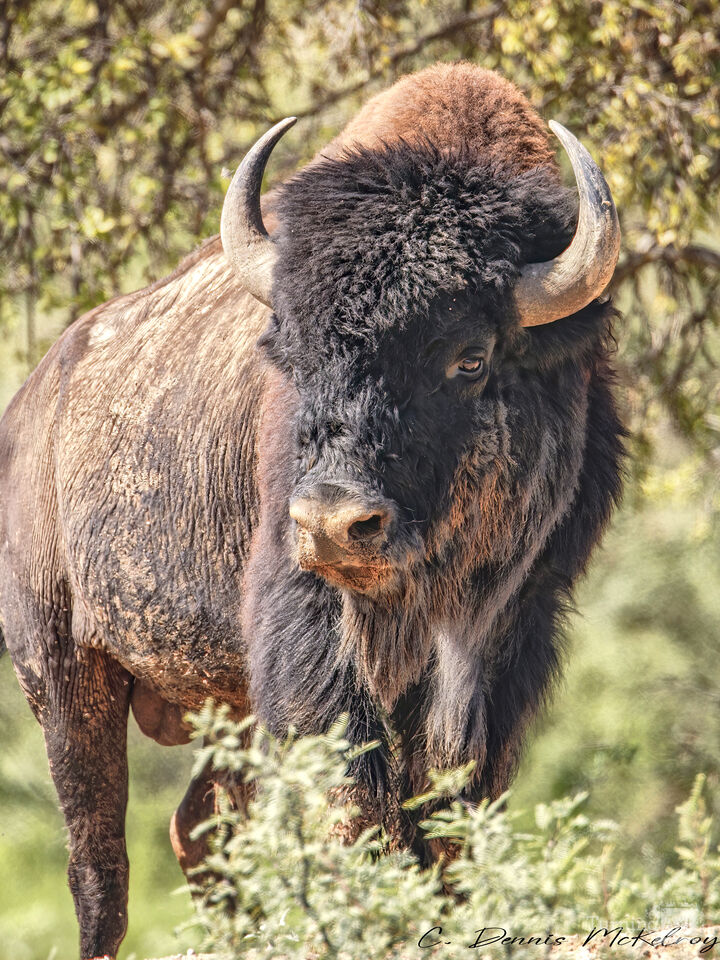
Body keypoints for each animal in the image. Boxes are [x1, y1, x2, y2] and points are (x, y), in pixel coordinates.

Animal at [0, 62, 623, 959]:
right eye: (289, 350)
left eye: (470, 358)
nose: (333, 523)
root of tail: (31, 403)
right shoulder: (308, 627)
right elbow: (357, 804)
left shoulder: (513, 631)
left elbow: (450, 817)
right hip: (61, 669)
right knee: (99, 866)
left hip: (217, 704)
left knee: (198, 830)